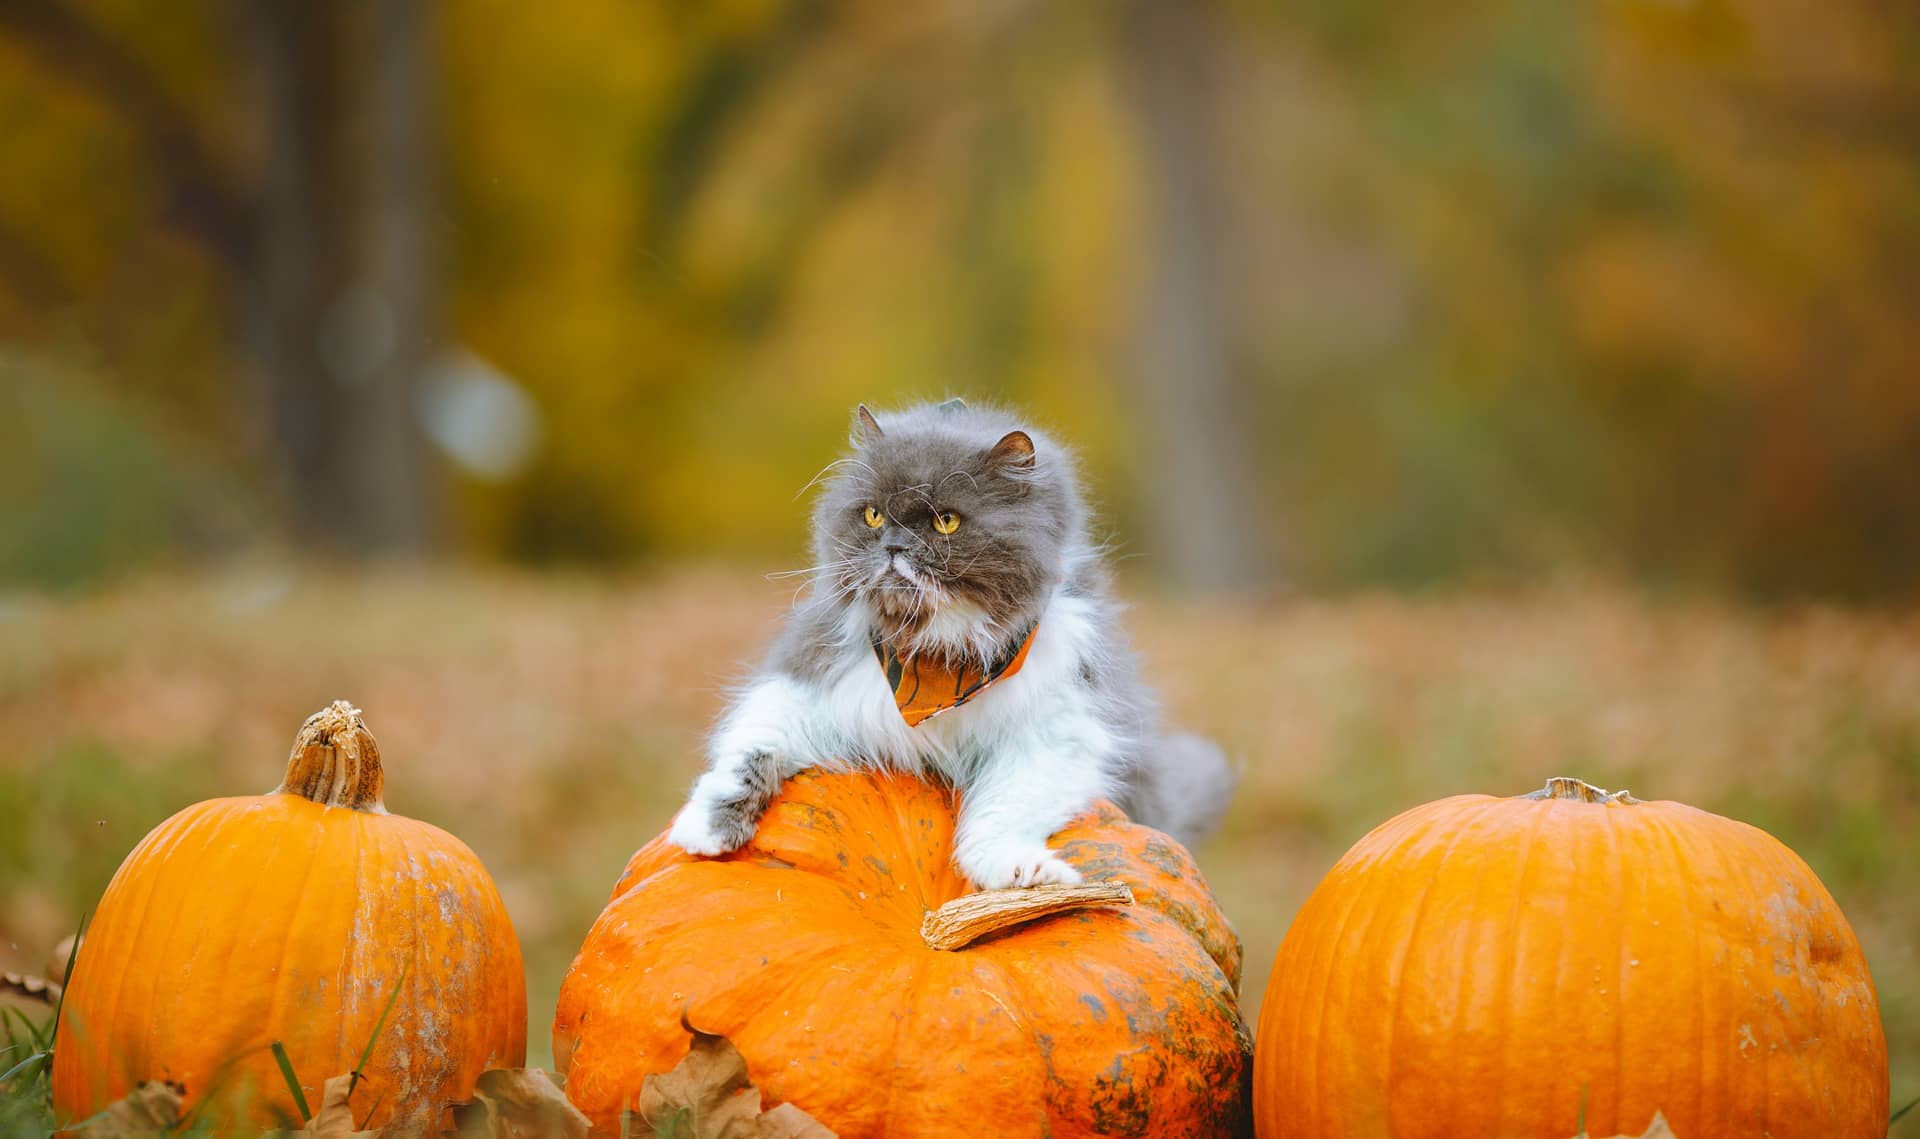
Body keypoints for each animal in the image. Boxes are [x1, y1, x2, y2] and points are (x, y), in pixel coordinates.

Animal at [668, 399, 1236, 887]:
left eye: (946, 522)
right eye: (874, 515)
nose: (894, 547)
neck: (937, 656)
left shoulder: (1058, 734)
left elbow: (1002, 813)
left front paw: (1024, 873)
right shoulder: (805, 688)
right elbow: (747, 752)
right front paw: (706, 832)